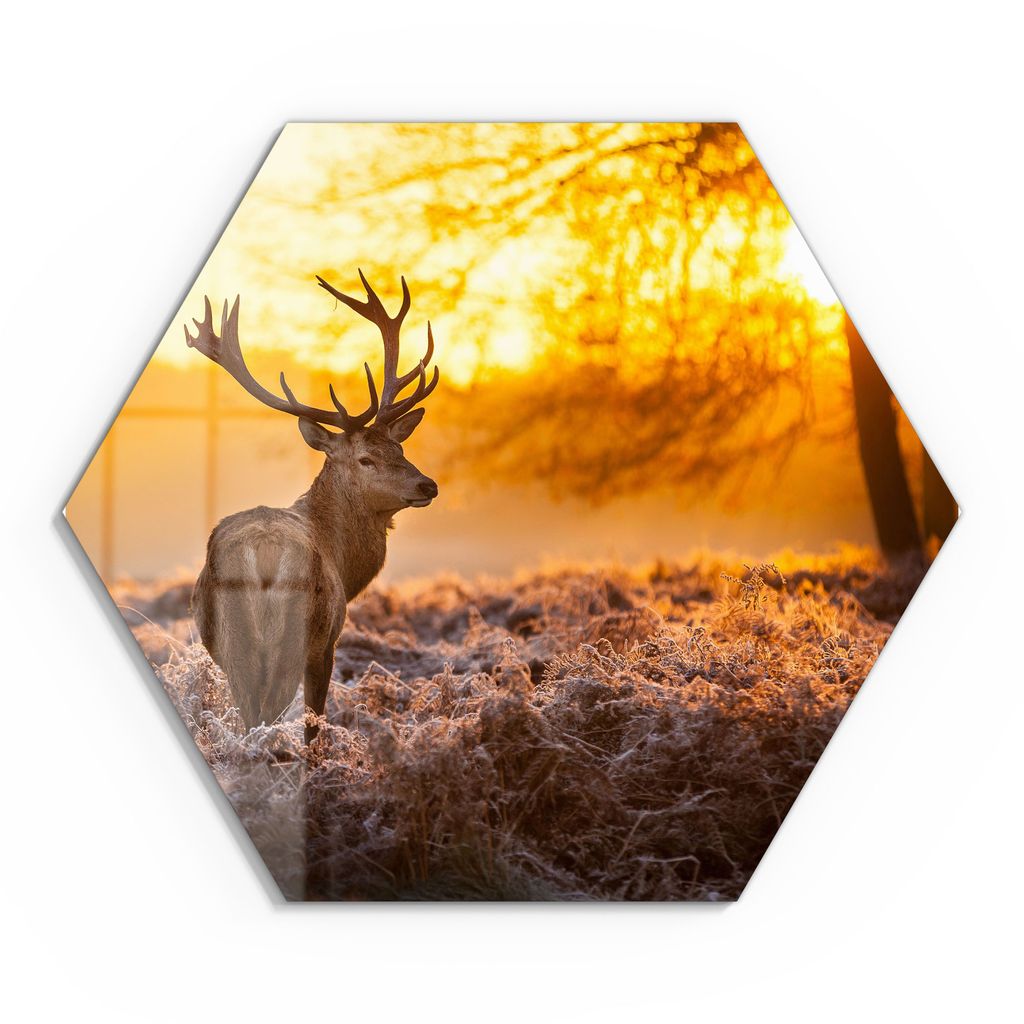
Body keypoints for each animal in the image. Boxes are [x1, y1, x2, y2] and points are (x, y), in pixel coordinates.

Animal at [185, 271, 440, 745]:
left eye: (399, 448)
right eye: (366, 459)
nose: (427, 484)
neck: (344, 561)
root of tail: (261, 555)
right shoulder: (328, 642)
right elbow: (313, 726)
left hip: (230, 643)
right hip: (293, 638)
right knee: (267, 716)